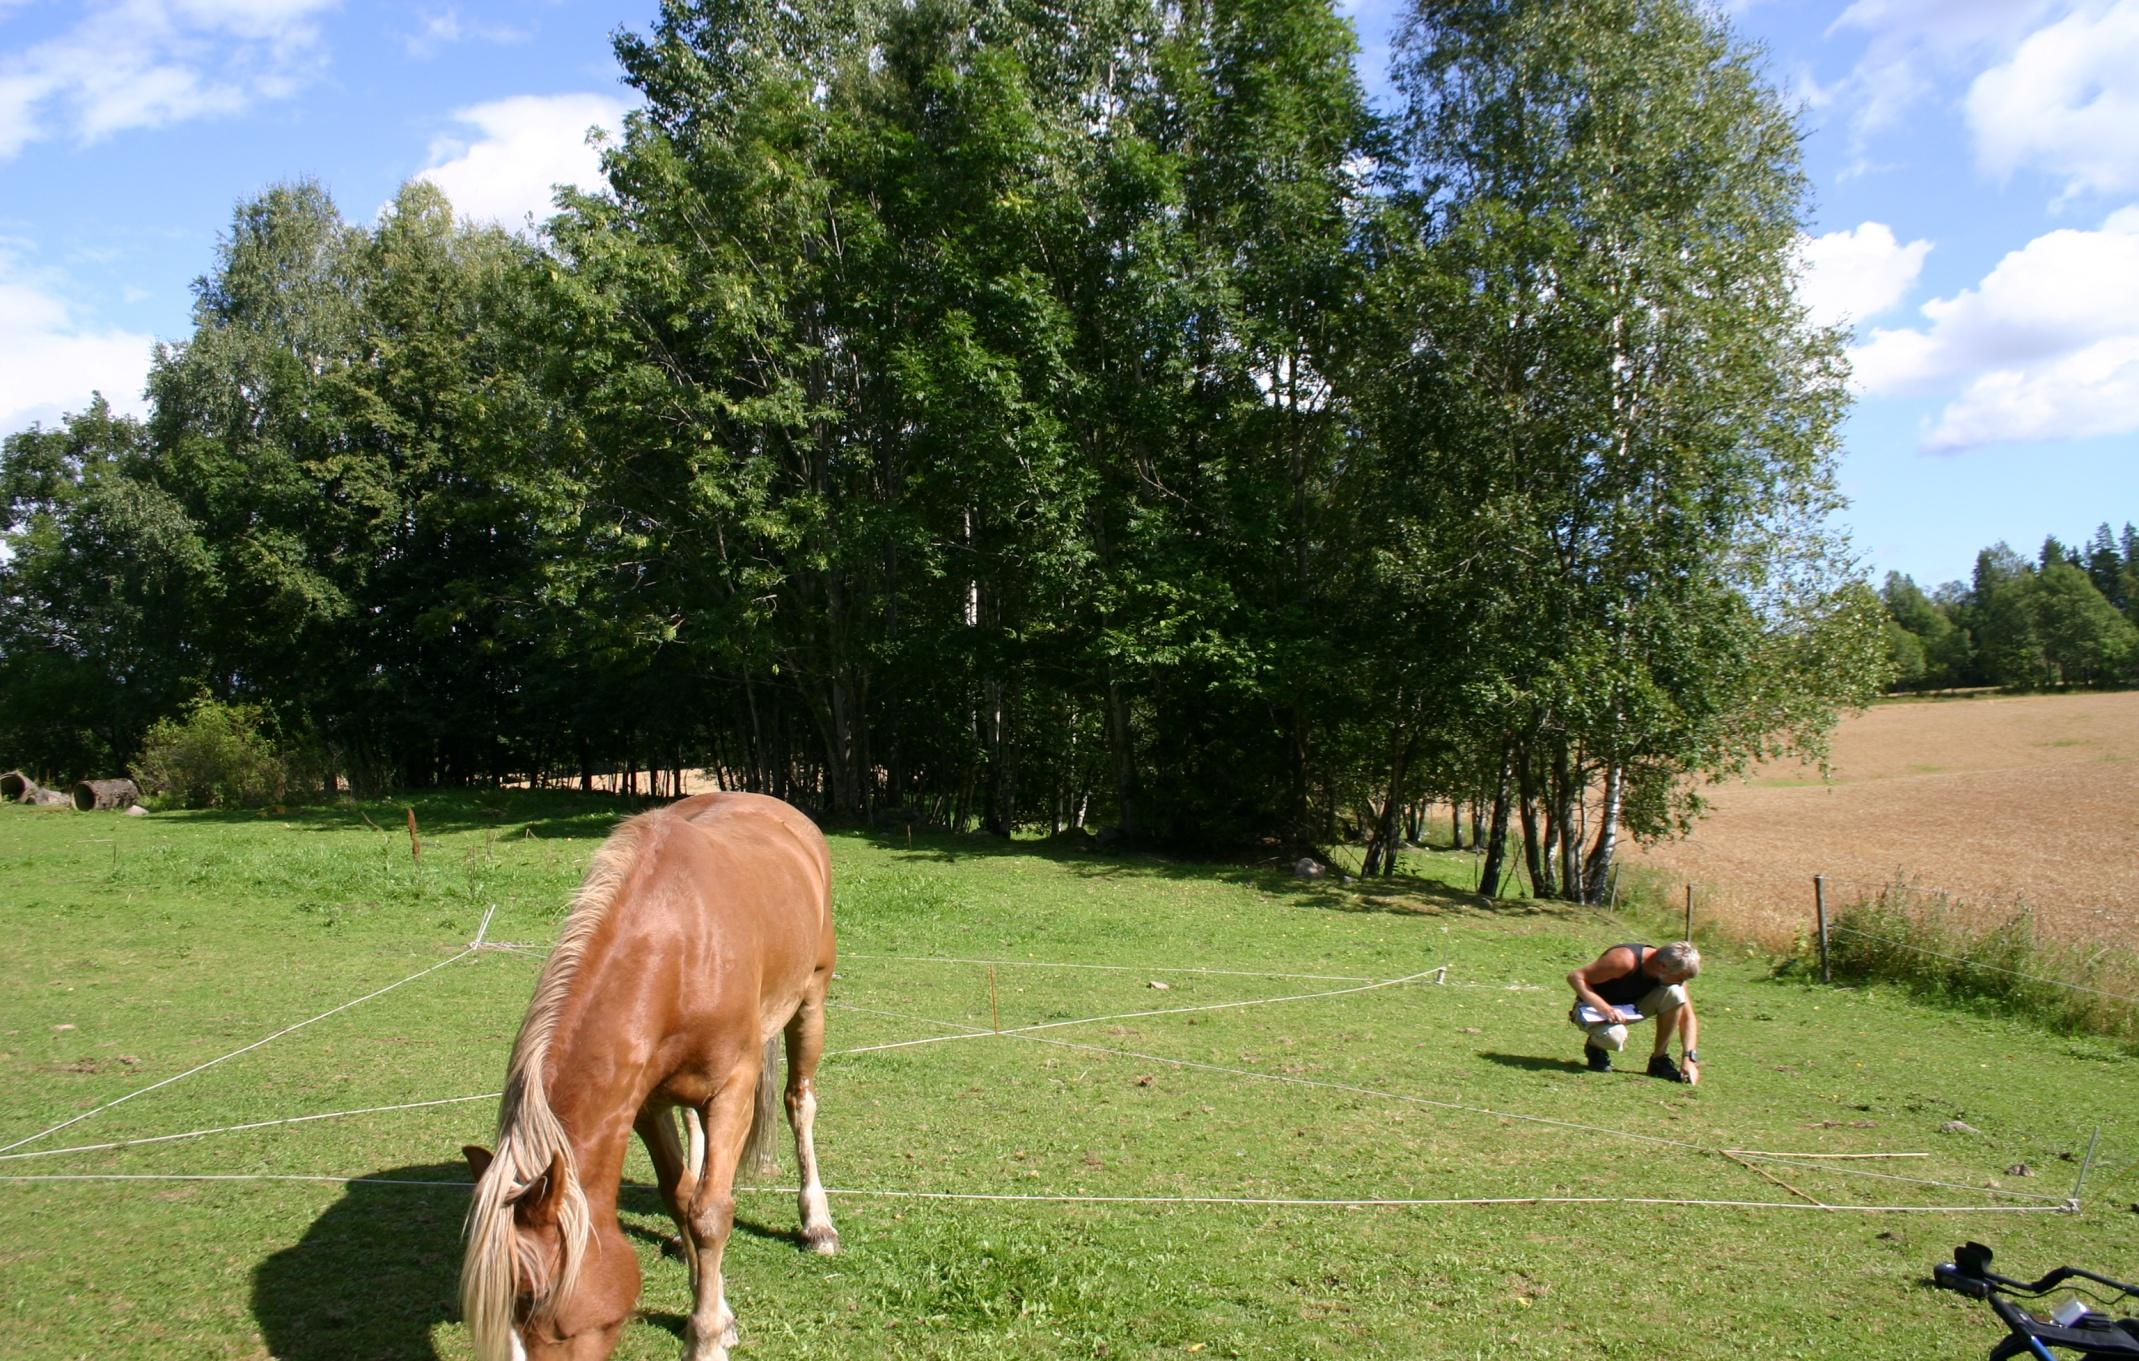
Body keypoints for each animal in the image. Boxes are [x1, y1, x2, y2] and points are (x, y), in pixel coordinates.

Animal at [464, 787, 838, 1361]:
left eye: (533, 1297)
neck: (677, 948)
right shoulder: (641, 1105)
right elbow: (682, 1196)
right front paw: (716, 1309)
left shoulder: (733, 1089)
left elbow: (711, 1213)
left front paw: (706, 1338)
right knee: (696, 1131)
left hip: (810, 1002)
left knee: (800, 1102)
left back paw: (817, 1223)